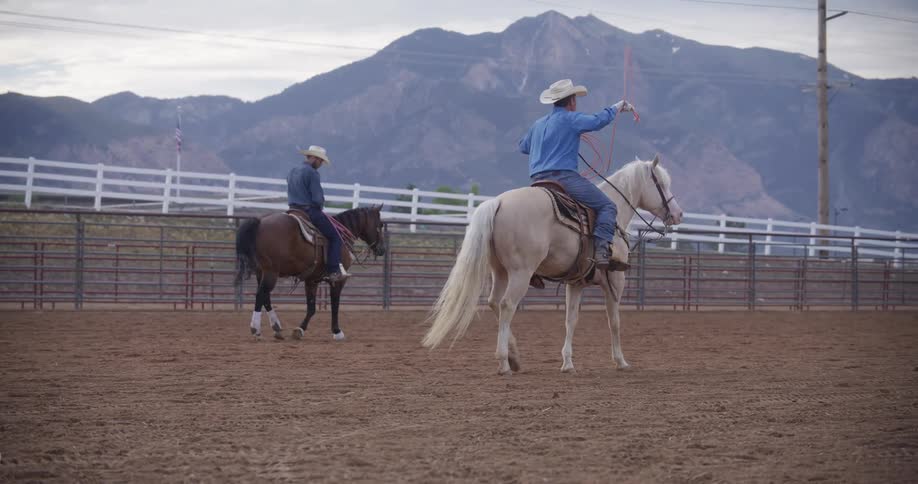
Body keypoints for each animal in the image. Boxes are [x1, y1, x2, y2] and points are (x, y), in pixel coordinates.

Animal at [234, 205, 386, 341]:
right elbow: (335, 305)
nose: (382, 249)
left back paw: (277, 328)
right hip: (271, 272)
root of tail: (260, 221)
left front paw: (299, 330)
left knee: (265, 296)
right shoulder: (338, 280)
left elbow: (311, 307)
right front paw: (337, 331)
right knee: (261, 294)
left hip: (261, 272)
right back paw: (256, 329)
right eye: (380, 224)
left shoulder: (312, 280)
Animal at [422, 156, 684, 374]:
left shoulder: (575, 283)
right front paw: (620, 361)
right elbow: (615, 322)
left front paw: (567, 363)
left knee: (494, 303)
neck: (615, 215)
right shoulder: (615, 281)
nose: (678, 214)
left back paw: (515, 357)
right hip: (521, 273)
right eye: (662, 183)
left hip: (500, 271)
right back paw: (504, 362)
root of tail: (498, 202)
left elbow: (571, 320)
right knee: (507, 305)